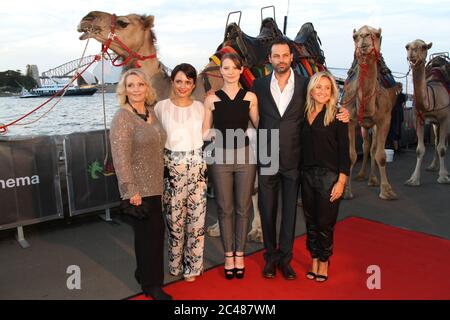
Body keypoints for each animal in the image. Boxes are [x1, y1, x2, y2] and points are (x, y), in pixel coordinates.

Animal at [342, 25, 400, 200]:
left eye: (377, 34)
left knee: (373, 148)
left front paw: (387, 191)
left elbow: (381, 155)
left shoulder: (385, 119)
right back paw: (361, 175)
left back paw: (373, 179)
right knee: (366, 145)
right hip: (364, 124)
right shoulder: (350, 119)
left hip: (373, 124)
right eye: (354, 36)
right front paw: (346, 191)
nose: (364, 37)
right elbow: (351, 155)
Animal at [404, 39, 450, 185]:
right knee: (436, 141)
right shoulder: (418, 118)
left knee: (443, 142)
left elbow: (442, 148)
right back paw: (433, 166)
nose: (412, 52)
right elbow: (420, 149)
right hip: (435, 123)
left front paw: (443, 177)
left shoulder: (445, 118)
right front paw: (414, 179)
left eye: (424, 47)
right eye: (407, 46)